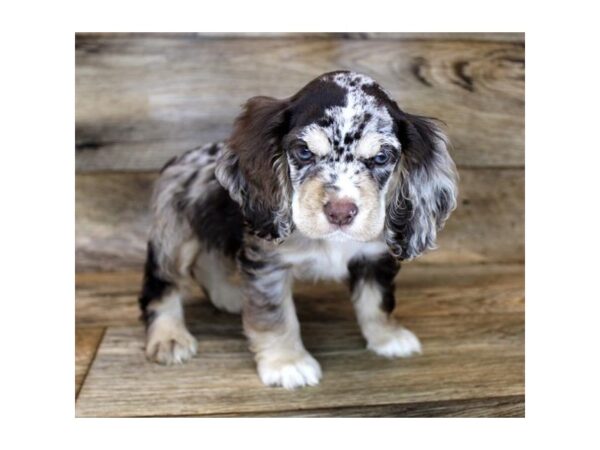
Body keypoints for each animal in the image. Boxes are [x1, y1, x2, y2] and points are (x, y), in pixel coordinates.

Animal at [138, 69, 458, 386]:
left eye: (381, 158)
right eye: (304, 152)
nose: (340, 212)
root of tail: (179, 158)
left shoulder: (374, 258)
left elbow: (377, 302)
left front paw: (387, 337)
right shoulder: (268, 264)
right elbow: (276, 316)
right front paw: (286, 363)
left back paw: (229, 296)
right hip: (176, 235)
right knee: (162, 283)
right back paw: (169, 335)